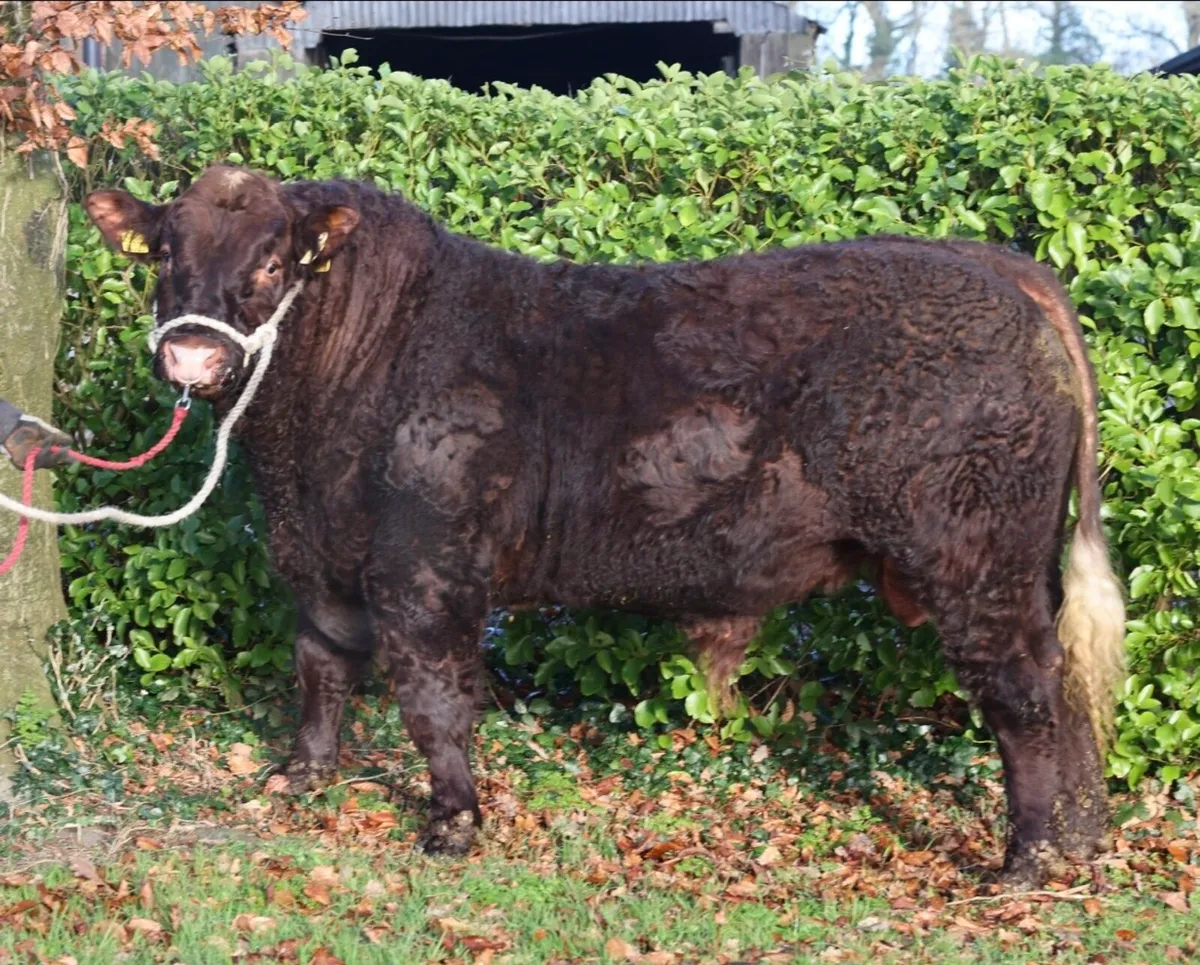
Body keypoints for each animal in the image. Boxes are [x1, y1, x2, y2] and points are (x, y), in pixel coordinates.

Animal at [81, 164, 1125, 886]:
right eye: (165, 255)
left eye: (270, 261)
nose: (188, 356)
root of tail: (987, 262)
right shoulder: (322, 556)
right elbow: (323, 664)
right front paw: (301, 774)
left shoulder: (426, 568)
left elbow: (433, 699)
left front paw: (453, 823)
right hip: (1013, 571)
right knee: (1065, 688)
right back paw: (1077, 838)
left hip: (976, 562)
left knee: (1026, 698)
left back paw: (1026, 859)